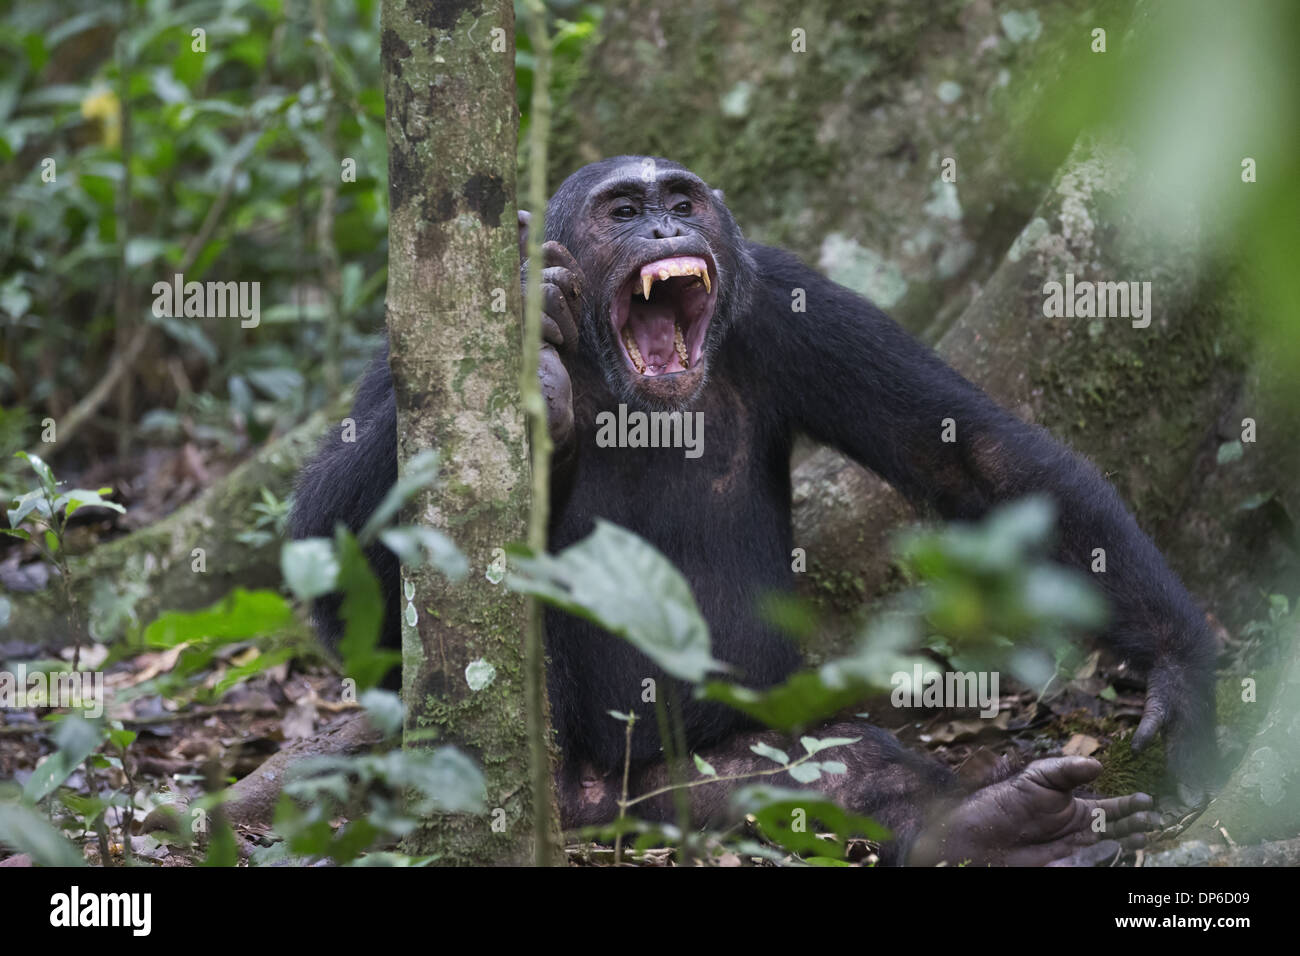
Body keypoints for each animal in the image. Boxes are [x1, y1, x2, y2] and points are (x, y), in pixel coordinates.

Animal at [295, 157, 1216, 868]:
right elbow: (333, 547)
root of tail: (601, 811)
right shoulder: (426, 340)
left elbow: (969, 456)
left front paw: (1184, 671)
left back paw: (999, 826)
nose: (662, 232)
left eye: (682, 203)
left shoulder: (795, 302)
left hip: (698, 785)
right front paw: (537, 319)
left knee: (837, 772)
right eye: (622, 211)